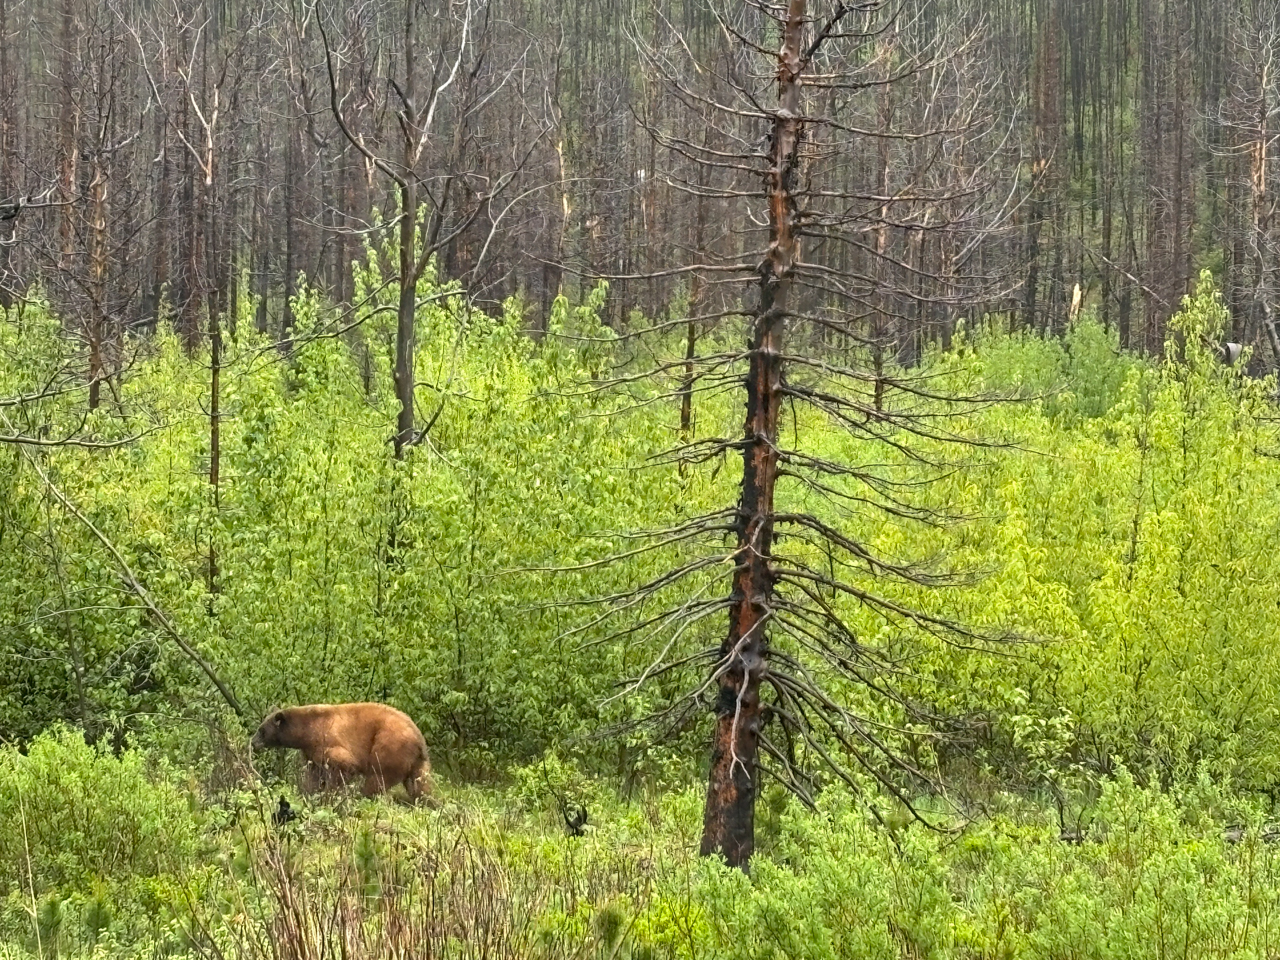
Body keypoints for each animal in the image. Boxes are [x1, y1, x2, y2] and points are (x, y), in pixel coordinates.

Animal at [250, 702, 432, 801]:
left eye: (261, 730)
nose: (252, 743)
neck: (306, 729)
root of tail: (418, 738)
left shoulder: (327, 741)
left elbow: (342, 765)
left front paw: (330, 794)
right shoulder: (311, 751)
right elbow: (313, 773)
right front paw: (310, 792)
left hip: (389, 746)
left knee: (378, 776)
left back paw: (362, 796)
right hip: (418, 762)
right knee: (420, 785)